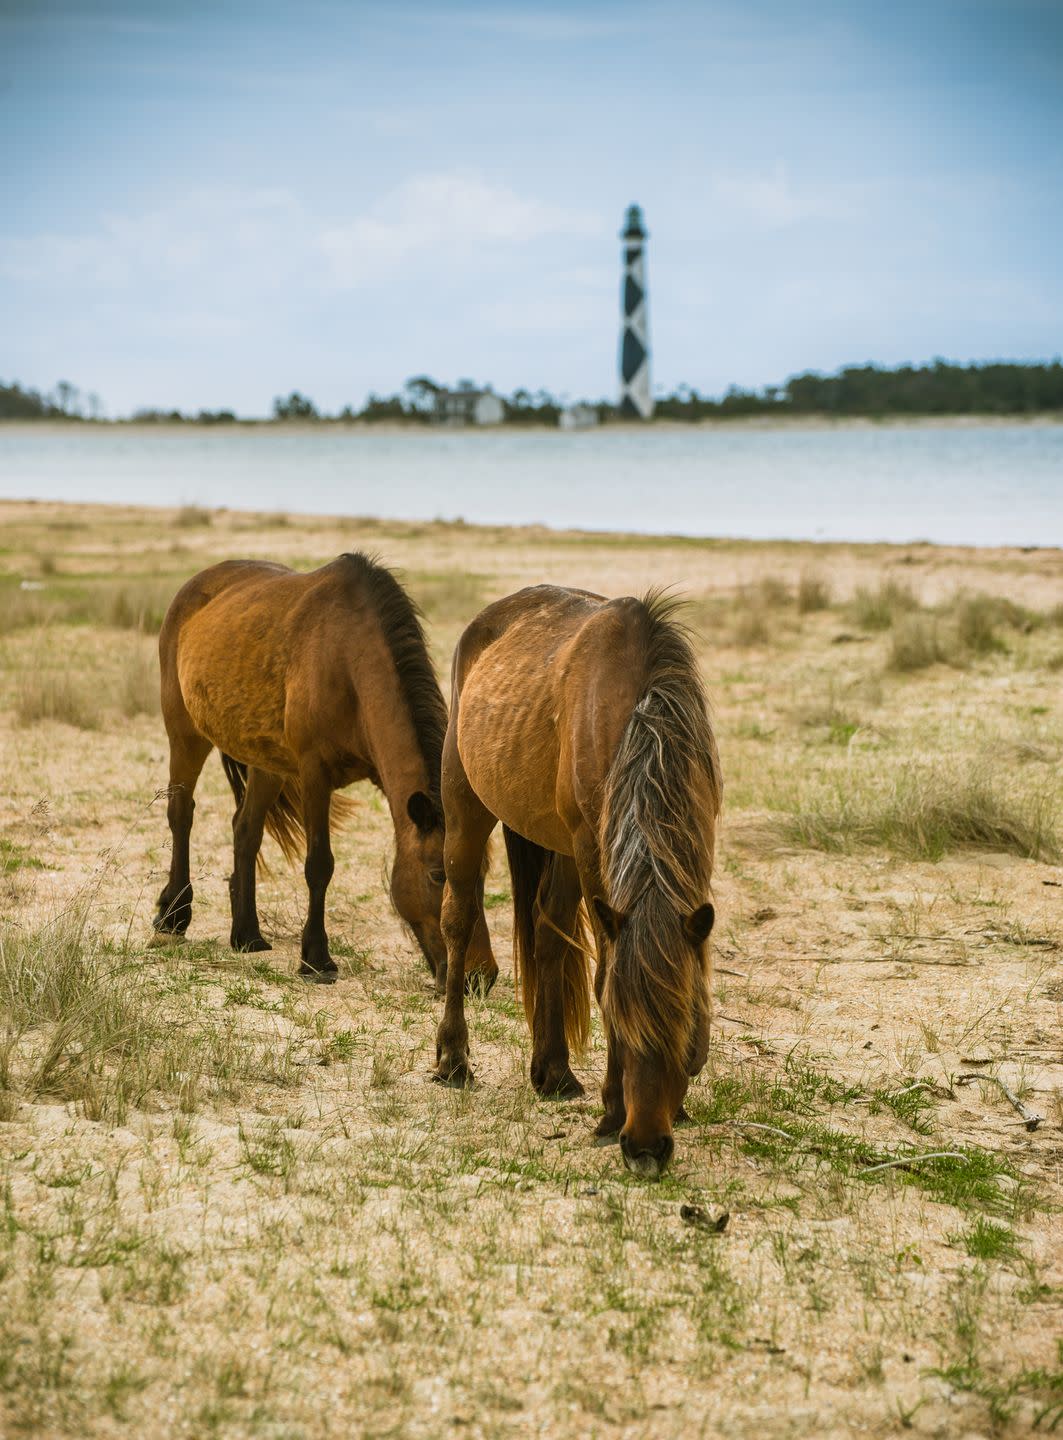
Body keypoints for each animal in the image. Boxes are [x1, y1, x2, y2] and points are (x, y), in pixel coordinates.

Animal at [151, 550, 495, 990]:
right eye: (437, 875)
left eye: (483, 876)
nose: (480, 978)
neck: (349, 663)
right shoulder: (315, 775)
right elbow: (320, 866)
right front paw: (316, 958)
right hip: (186, 733)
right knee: (181, 813)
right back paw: (173, 916)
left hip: (267, 762)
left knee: (246, 830)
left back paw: (247, 934)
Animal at [432, 587, 720, 1180]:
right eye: (623, 1026)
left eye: (684, 1030)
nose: (646, 1149)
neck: (639, 712)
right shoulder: (592, 850)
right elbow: (607, 972)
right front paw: (611, 1108)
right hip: (466, 807)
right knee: (457, 922)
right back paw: (453, 1058)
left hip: (557, 845)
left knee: (546, 935)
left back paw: (553, 1071)